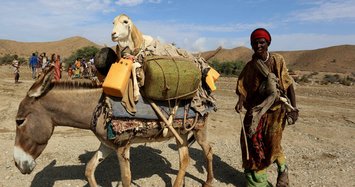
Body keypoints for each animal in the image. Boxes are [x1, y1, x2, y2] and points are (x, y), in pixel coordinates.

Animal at [13, 66, 214, 186]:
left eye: (19, 121)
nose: (17, 164)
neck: (98, 107)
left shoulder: (122, 147)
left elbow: (126, 179)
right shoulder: (107, 144)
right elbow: (89, 170)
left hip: (199, 130)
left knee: (208, 151)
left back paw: (208, 182)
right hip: (181, 133)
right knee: (184, 159)